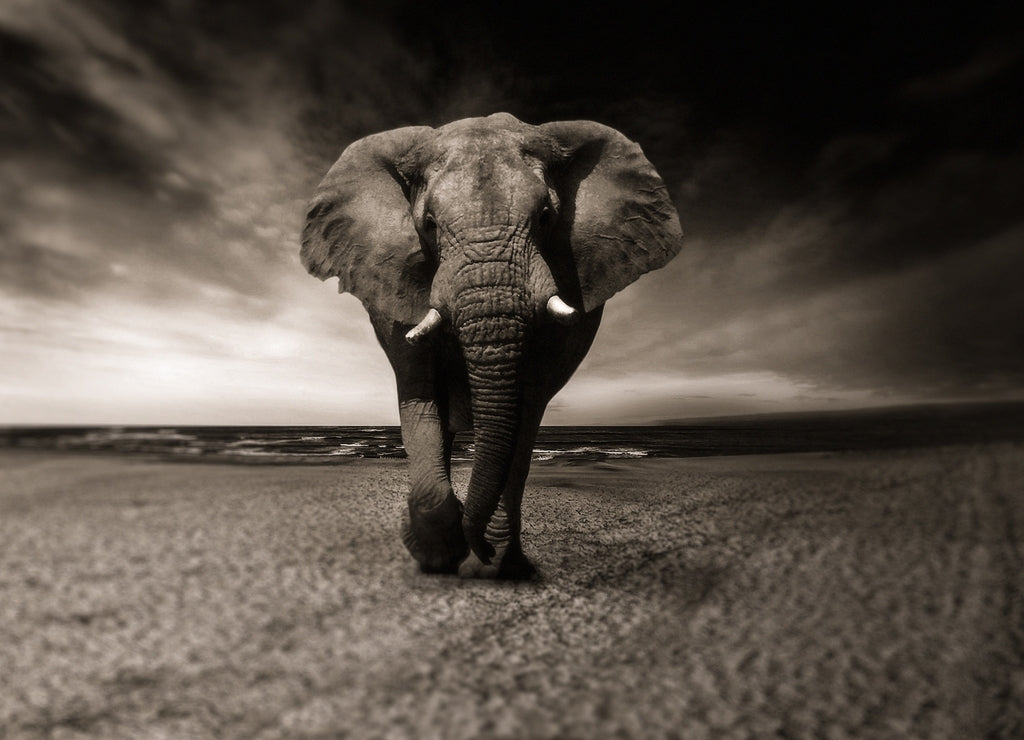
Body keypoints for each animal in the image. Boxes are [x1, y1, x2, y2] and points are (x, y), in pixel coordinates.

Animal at [300, 113, 682, 578]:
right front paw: (438, 555)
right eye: (429, 225)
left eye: (546, 217)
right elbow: (420, 394)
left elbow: (526, 407)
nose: (477, 546)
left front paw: (491, 563)